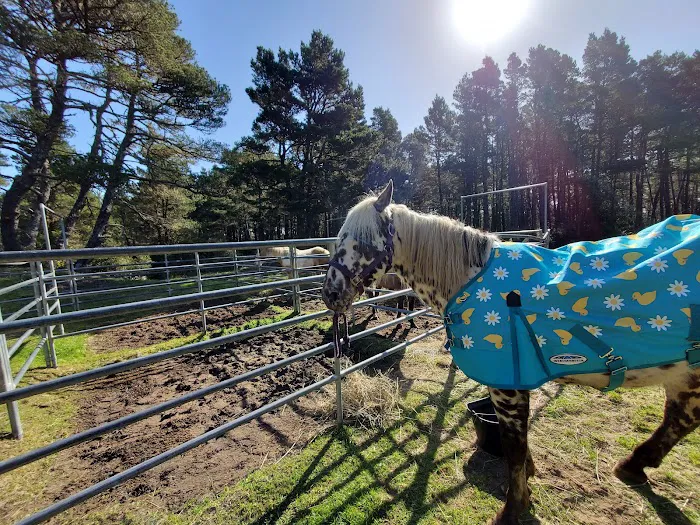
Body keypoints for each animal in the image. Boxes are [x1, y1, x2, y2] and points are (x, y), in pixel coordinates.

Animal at [321, 180, 700, 525]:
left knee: (680, 419)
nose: (330, 294)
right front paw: (528, 483)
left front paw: (513, 508)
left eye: (358, 242)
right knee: (679, 420)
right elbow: (520, 443)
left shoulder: (507, 385)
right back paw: (634, 466)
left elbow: (513, 444)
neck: (471, 280)